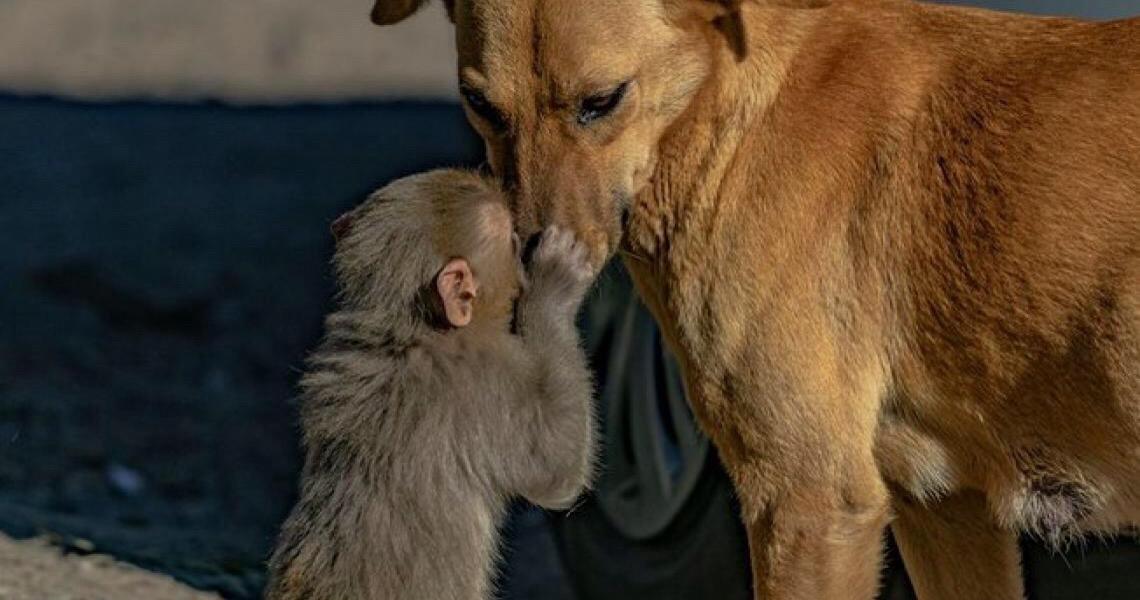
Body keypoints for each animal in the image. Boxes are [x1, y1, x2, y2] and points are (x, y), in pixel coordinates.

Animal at [265, 168, 597, 600]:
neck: (410, 333)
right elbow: (556, 468)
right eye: (511, 241)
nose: (525, 241)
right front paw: (554, 285)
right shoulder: (486, 380)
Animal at [373, 0, 1140, 597]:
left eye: (602, 101)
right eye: (481, 106)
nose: (527, 269)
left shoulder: (809, 503)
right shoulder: (945, 509)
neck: (725, 120)